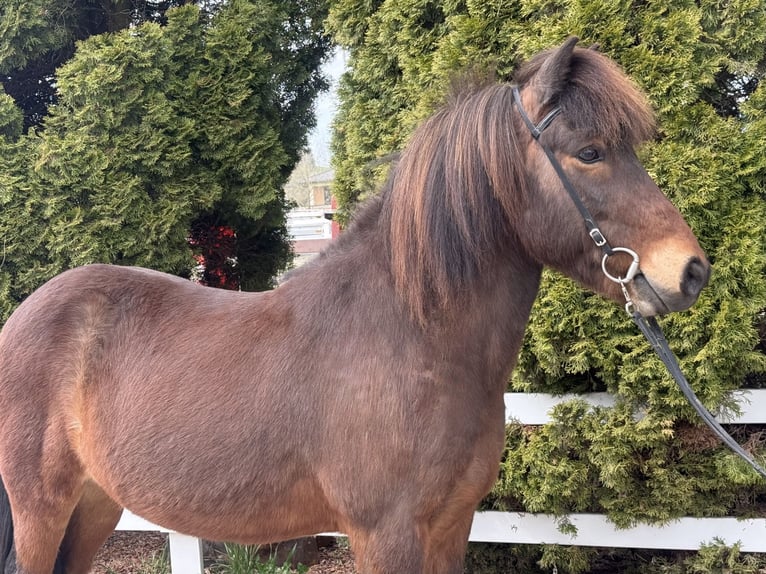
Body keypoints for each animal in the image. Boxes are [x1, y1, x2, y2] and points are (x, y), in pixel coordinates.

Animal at [0, 37, 710, 574]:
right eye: (590, 152)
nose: (691, 271)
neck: (413, 338)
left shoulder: (451, 527)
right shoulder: (385, 535)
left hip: (94, 506)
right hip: (42, 509)